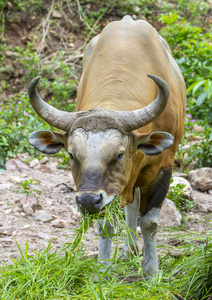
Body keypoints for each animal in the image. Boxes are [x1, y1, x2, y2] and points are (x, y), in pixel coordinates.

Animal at [27, 16, 186, 278]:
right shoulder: (105, 192)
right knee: (130, 207)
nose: (88, 201)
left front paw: (151, 271)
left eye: (119, 154)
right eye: (71, 154)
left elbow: (150, 223)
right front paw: (103, 268)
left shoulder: (164, 167)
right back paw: (130, 249)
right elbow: (106, 224)